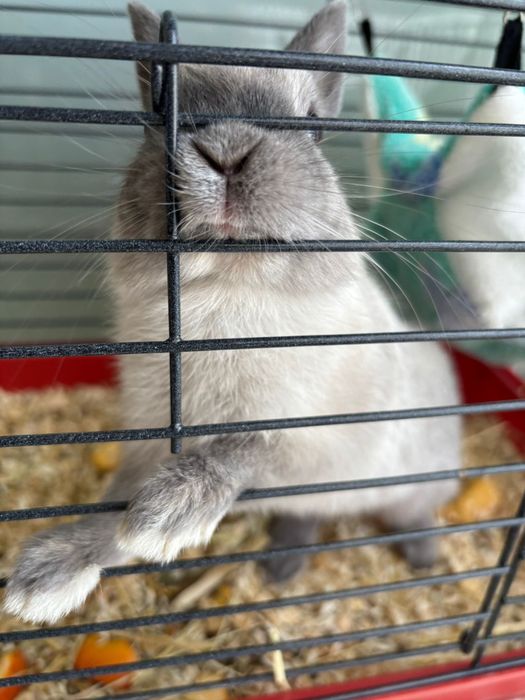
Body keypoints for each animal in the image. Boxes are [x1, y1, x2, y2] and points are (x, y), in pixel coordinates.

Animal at [4, 0, 460, 625]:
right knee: (303, 521)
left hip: (410, 486)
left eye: (313, 124)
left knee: (408, 514)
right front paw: (40, 579)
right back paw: (281, 566)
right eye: (159, 119)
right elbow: (110, 512)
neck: (226, 289)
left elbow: (245, 450)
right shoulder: (145, 446)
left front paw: (166, 516)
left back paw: (423, 558)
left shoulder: (310, 447)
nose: (225, 152)